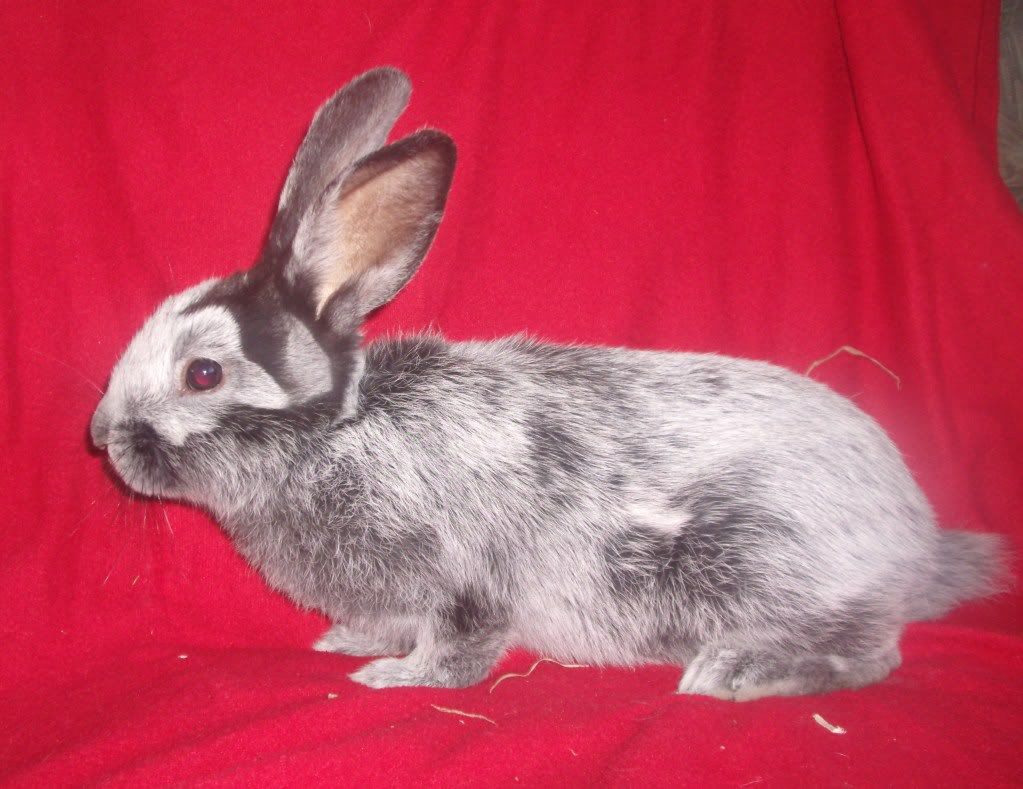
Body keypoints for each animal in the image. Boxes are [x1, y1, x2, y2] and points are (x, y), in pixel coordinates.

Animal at [89, 67, 1007, 701]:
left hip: (762, 561)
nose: (100, 436)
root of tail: (915, 539)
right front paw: (348, 641)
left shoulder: (462, 573)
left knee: (872, 651)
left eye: (203, 372)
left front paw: (394, 677)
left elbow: (458, 645)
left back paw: (735, 674)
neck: (336, 431)